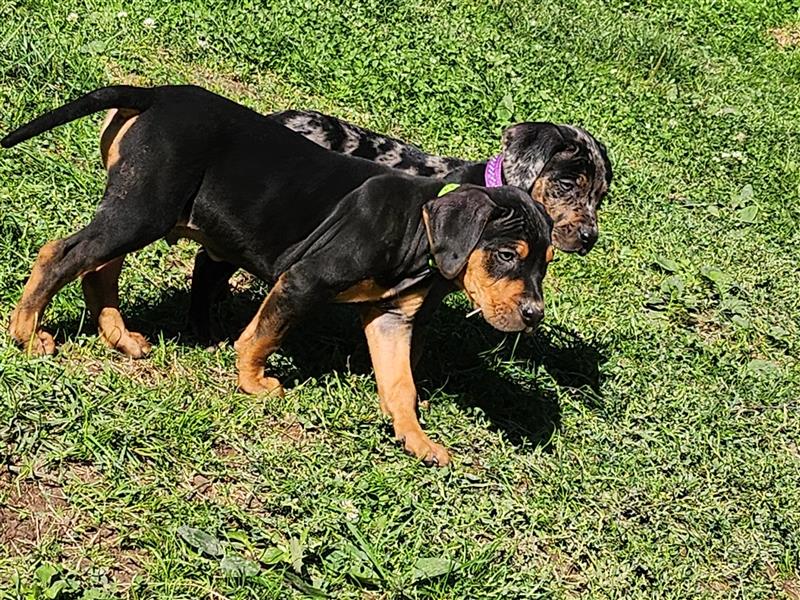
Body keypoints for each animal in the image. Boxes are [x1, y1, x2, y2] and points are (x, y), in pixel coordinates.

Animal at [3, 85, 552, 468]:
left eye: (544, 263)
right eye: (507, 255)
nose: (534, 315)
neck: (415, 228)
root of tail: (153, 93)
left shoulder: (391, 319)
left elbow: (402, 385)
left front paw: (418, 441)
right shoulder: (304, 280)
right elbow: (262, 336)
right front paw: (254, 383)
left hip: (142, 211)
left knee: (97, 269)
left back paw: (119, 337)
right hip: (143, 210)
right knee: (59, 254)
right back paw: (28, 335)